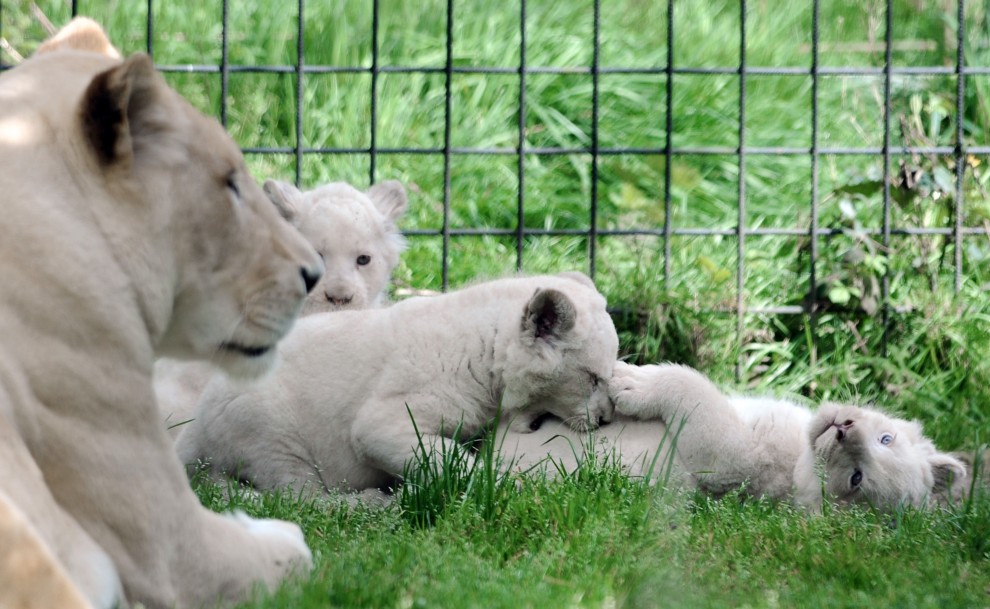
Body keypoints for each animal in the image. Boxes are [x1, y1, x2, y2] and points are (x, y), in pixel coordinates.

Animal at [174, 273, 618, 494]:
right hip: (271, 432)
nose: (605, 419)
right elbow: (442, 455)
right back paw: (374, 502)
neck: (484, 351)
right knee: (302, 498)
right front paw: (511, 484)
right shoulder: (385, 418)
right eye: (593, 378)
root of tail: (193, 435)